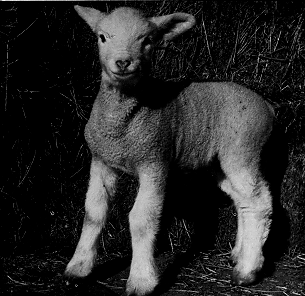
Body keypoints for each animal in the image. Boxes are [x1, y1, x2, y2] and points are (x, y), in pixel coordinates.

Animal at [65, 5, 274, 296]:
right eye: (102, 37)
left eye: (147, 40)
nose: (123, 62)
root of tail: (268, 106)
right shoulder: (102, 160)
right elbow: (94, 213)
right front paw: (78, 268)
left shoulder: (154, 161)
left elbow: (142, 219)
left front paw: (141, 281)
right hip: (220, 162)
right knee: (242, 200)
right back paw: (239, 255)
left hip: (243, 149)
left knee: (259, 201)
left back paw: (247, 270)